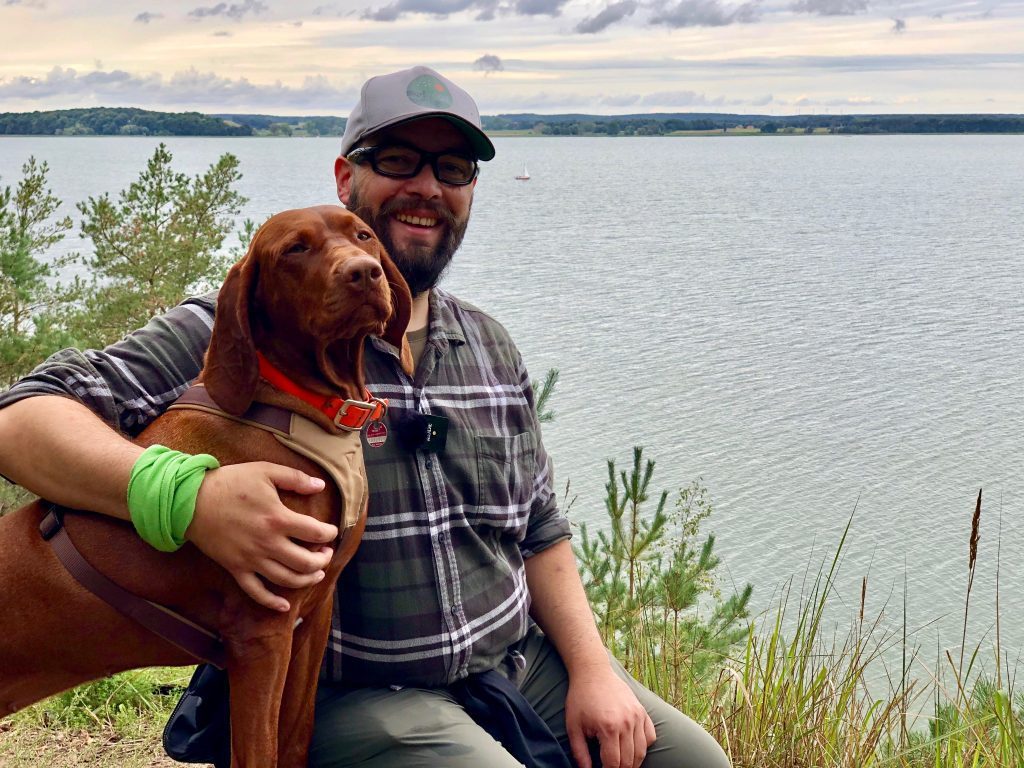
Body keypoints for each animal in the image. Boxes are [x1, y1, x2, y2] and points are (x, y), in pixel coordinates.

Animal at [0, 205, 411, 768]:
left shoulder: (312, 618)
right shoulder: (260, 636)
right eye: (295, 249)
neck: (301, 402)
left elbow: (295, 736)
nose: (364, 272)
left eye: (363, 235)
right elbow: (258, 753)